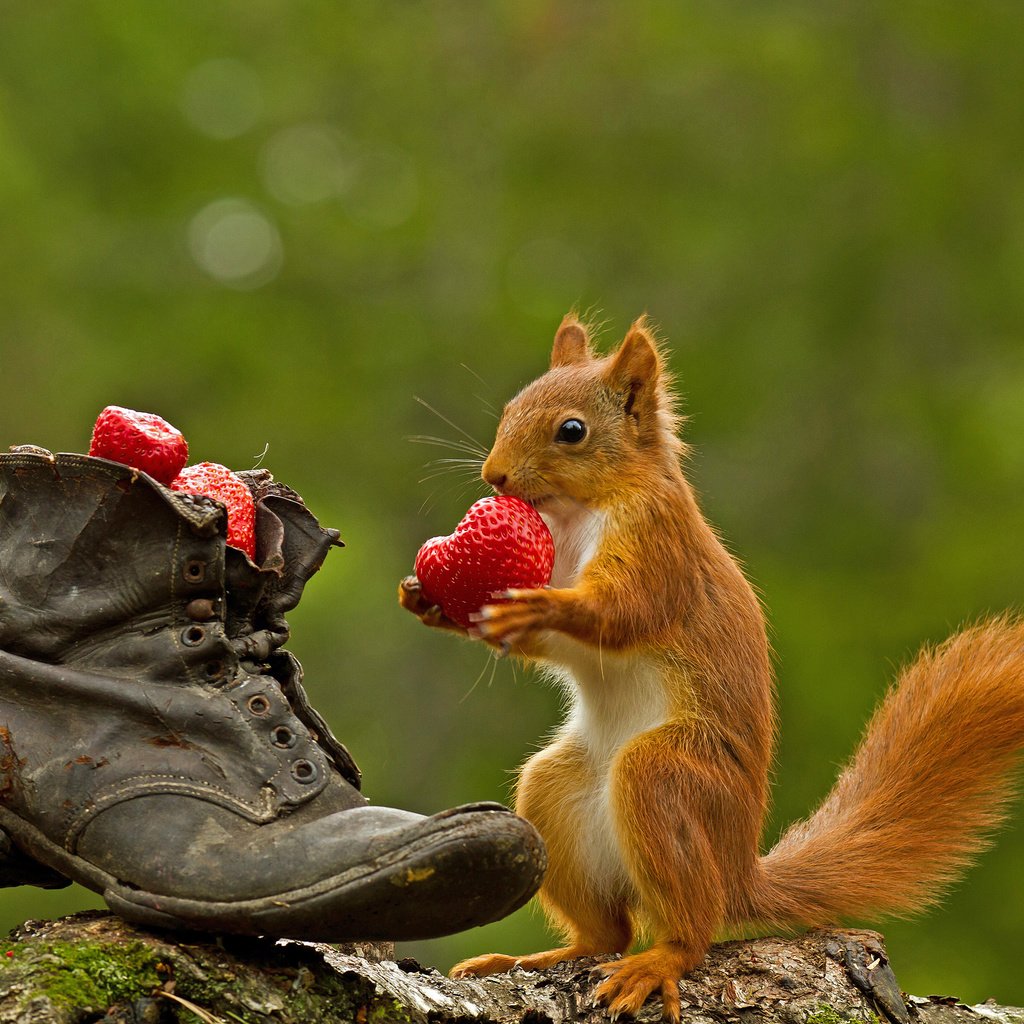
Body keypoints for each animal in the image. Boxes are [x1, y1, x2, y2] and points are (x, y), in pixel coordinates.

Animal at [397, 315, 1024, 1019]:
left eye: (572, 431)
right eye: (508, 410)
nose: (495, 476)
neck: (579, 512)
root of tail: (737, 872)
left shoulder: (657, 544)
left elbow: (624, 611)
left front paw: (539, 606)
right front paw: (432, 602)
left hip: (669, 779)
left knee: (689, 930)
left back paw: (658, 962)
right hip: (556, 790)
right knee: (606, 932)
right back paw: (540, 958)